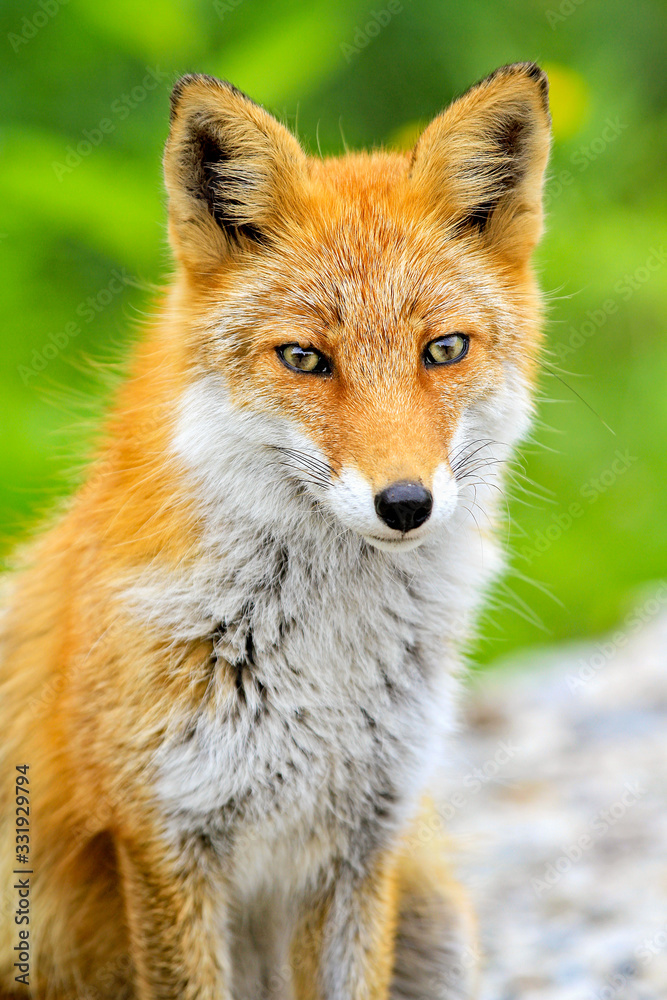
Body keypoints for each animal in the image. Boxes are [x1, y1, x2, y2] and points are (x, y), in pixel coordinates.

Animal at [0, 63, 550, 1000]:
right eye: (303, 359)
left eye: (442, 349)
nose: (405, 503)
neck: (324, 659)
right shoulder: (163, 838)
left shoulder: (361, 838)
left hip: (435, 920)